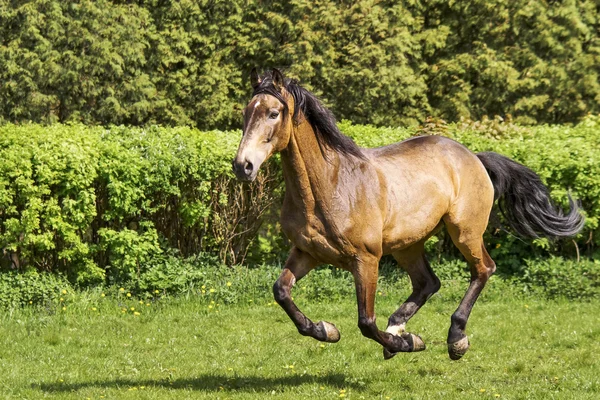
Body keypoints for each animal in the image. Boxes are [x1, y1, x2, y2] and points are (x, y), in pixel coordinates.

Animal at [232, 68, 584, 360]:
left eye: (273, 113)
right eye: (246, 113)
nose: (243, 166)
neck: (331, 186)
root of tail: (473, 157)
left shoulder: (366, 259)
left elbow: (365, 321)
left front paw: (407, 343)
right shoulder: (307, 252)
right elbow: (281, 292)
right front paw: (326, 330)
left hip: (464, 232)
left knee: (483, 269)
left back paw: (454, 339)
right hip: (407, 246)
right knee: (428, 282)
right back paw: (399, 327)